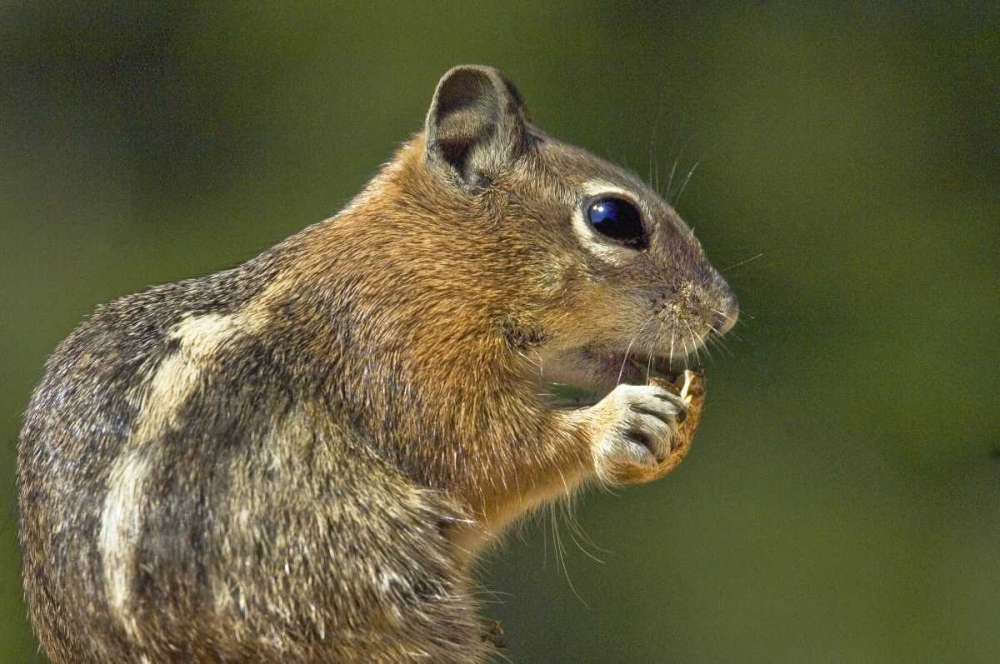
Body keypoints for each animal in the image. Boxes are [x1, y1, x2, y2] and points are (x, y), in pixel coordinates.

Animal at [18, 65, 738, 662]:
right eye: (613, 217)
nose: (725, 310)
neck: (420, 262)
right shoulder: (406, 362)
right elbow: (486, 455)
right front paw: (619, 424)